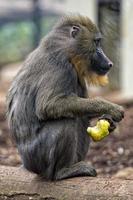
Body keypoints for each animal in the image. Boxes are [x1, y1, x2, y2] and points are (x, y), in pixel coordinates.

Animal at [7, 14, 123, 180]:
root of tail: (27, 165)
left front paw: (109, 120)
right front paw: (111, 108)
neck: (65, 49)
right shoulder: (60, 67)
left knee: (81, 118)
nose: (109, 63)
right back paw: (63, 171)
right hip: (39, 157)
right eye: (96, 42)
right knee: (67, 120)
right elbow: (49, 105)